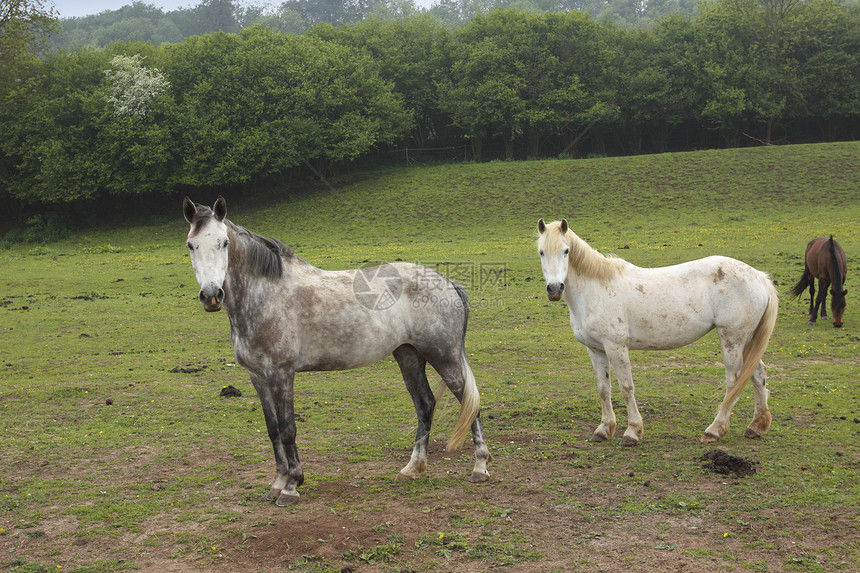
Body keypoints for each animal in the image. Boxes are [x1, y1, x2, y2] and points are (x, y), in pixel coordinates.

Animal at [536, 217, 780, 444]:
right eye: (541, 252)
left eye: (566, 251)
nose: (555, 288)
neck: (595, 289)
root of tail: (759, 276)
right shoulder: (595, 349)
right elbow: (603, 388)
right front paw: (603, 429)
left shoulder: (616, 347)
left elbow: (626, 387)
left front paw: (632, 432)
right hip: (746, 340)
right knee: (757, 373)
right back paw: (756, 426)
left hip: (732, 339)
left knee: (734, 380)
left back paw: (714, 429)